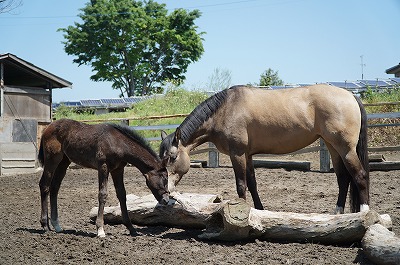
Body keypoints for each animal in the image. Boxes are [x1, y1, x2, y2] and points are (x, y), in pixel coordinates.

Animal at [38, 118, 169, 236]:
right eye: (165, 178)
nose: (166, 200)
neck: (118, 143)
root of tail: (47, 128)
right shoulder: (103, 167)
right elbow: (103, 194)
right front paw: (100, 229)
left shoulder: (118, 169)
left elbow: (122, 194)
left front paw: (131, 228)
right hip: (52, 159)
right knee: (44, 184)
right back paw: (44, 225)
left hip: (64, 161)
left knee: (55, 187)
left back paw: (56, 225)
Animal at [159, 84, 368, 212]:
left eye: (172, 157)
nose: (166, 189)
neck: (226, 110)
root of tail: (350, 95)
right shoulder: (248, 155)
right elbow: (252, 184)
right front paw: (259, 210)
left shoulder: (238, 154)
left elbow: (241, 185)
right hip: (333, 147)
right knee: (343, 179)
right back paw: (337, 213)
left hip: (346, 149)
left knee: (360, 176)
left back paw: (364, 212)